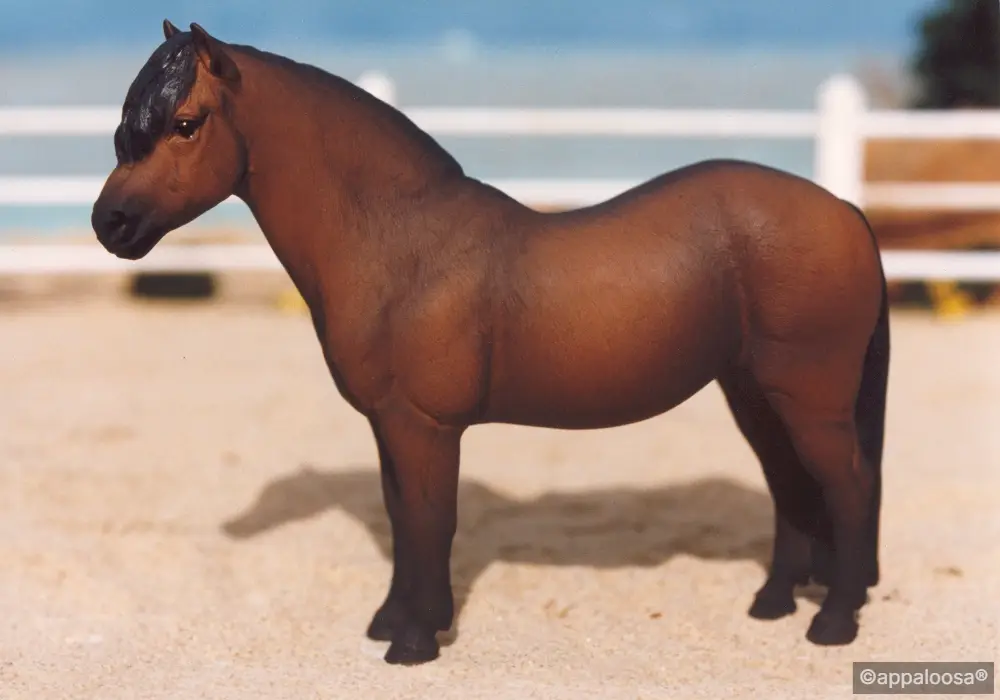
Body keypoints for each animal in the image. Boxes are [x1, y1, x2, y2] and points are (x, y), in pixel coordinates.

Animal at [91, 21, 890, 666]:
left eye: (185, 123)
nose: (109, 224)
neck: (400, 245)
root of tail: (842, 209)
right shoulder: (390, 424)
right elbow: (401, 517)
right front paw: (392, 622)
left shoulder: (426, 426)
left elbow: (429, 521)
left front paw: (415, 642)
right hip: (753, 391)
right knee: (790, 486)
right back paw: (773, 603)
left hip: (808, 395)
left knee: (847, 484)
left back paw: (833, 623)